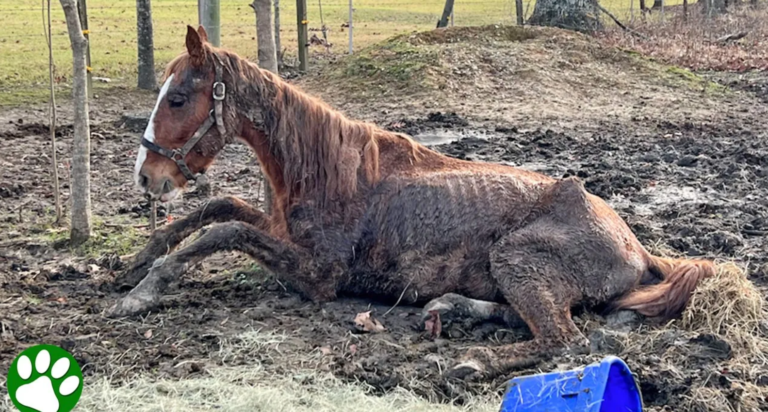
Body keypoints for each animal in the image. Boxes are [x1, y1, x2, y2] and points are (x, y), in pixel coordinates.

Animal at [111, 25, 716, 380]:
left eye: (179, 98)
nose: (147, 177)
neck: (329, 172)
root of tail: (637, 247)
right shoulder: (278, 230)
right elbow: (217, 210)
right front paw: (132, 266)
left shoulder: (318, 276)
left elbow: (223, 230)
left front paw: (141, 294)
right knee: (527, 319)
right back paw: (449, 309)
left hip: (516, 259)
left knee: (563, 339)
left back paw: (473, 358)